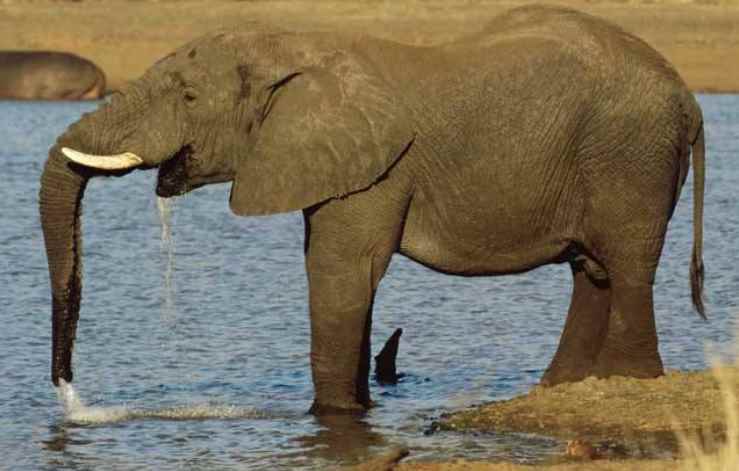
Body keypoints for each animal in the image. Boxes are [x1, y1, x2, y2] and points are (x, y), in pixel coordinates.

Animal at [39, 4, 706, 415]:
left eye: (188, 96)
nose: (67, 394)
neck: (299, 45)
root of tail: (690, 96)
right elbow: (340, 271)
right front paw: (356, 410)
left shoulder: (378, 168)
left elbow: (342, 272)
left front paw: (330, 413)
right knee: (591, 271)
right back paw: (564, 386)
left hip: (630, 156)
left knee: (627, 263)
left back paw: (630, 381)